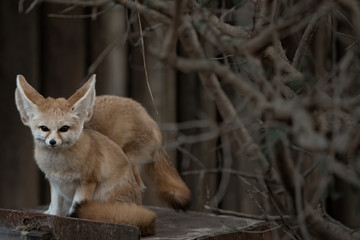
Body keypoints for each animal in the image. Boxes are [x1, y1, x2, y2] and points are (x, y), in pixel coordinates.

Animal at [14, 75, 191, 236]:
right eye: (44, 128)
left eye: (64, 129)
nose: (52, 142)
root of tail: (146, 114)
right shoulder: (54, 180)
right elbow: (55, 204)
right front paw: (51, 214)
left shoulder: (86, 181)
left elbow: (74, 205)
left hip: (127, 164)